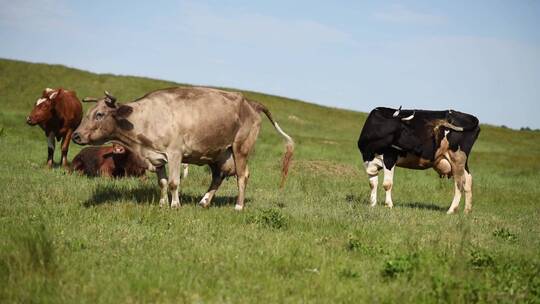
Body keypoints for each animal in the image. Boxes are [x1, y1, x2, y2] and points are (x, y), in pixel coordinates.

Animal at [71, 86, 294, 210]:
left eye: (99, 114)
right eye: (88, 112)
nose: (76, 135)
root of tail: (250, 102)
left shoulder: (175, 153)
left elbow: (173, 182)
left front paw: (175, 205)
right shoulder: (156, 157)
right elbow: (161, 182)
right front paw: (162, 204)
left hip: (240, 148)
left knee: (242, 176)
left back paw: (238, 206)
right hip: (218, 154)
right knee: (218, 177)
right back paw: (204, 201)